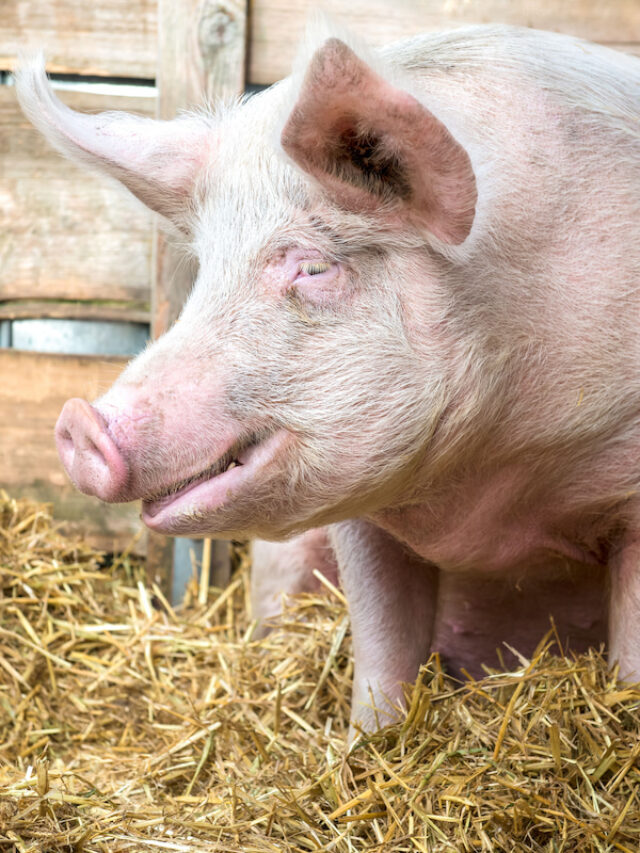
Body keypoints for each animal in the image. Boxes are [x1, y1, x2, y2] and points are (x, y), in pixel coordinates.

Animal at [17, 23, 640, 738]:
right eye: (206, 271)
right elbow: (381, 644)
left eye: (313, 268)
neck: (488, 497)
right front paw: (367, 743)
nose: (77, 423)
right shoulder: (358, 514)